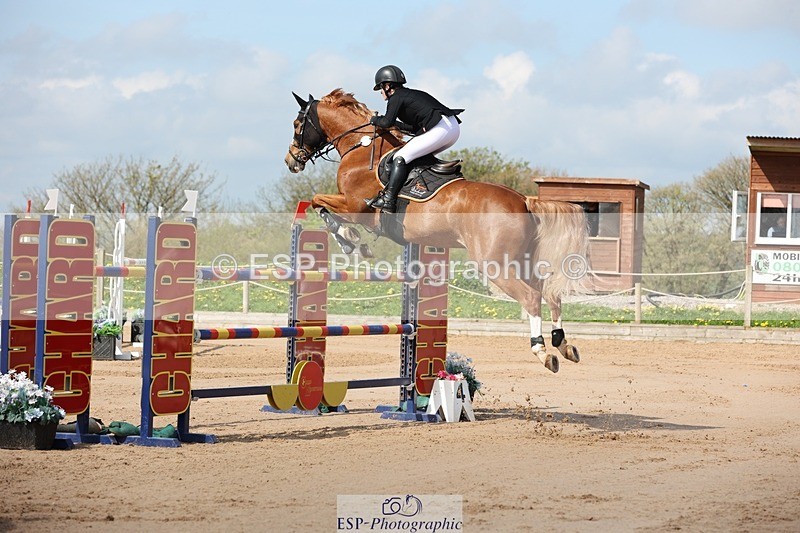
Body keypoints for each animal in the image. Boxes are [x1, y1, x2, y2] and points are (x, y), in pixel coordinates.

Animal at [284, 88, 589, 373]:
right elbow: (320, 204)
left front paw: (349, 239)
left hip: (495, 264)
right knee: (550, 293)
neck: (360, 149)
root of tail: (523, 200)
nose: (291, 161)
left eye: (298, 124)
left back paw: (543, 352)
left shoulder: (356, 206)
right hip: (522, 260)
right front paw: (350, 240)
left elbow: (318, 202)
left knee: (531, 297)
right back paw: (563, 345)